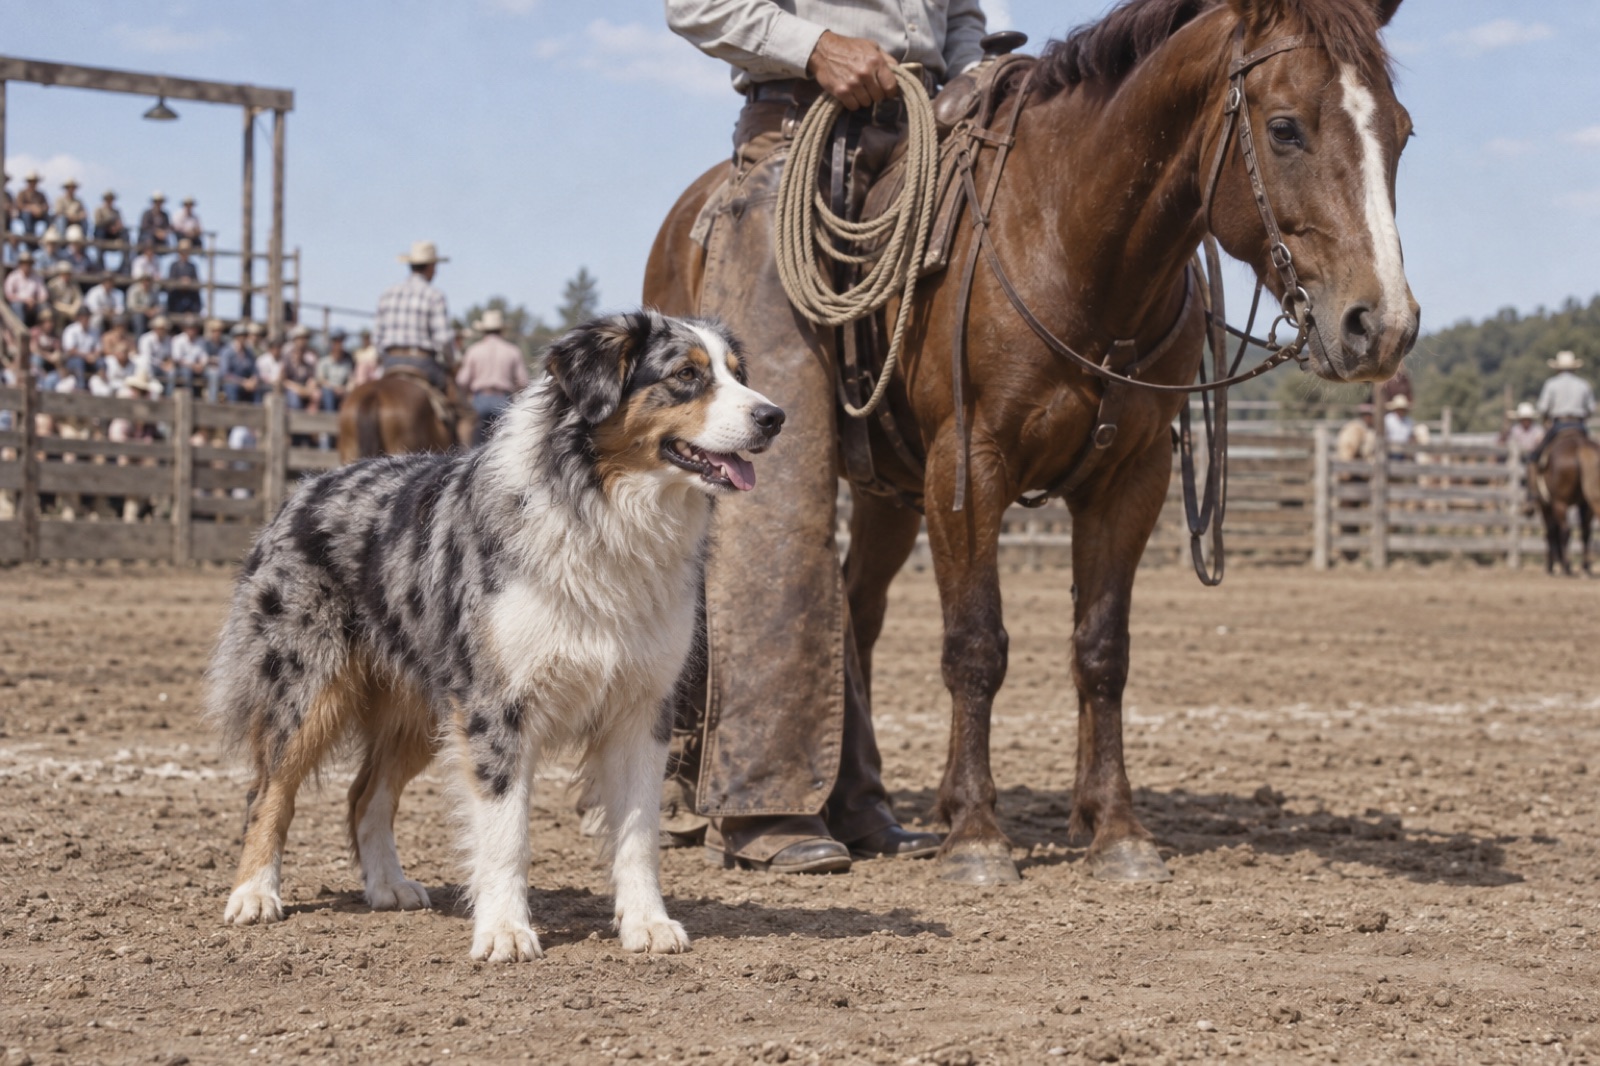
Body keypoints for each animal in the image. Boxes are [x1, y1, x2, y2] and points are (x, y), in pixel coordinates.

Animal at [645, 0, 1418, 885]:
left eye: (1401, 131)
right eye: (1285, 127)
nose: (1381, 326)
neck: (1073, 251)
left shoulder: (1133, 476)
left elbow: (1102, 650)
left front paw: (1114, 829)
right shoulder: (970, 468)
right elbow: (976, 645)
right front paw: (979, 835)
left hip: (888, 497)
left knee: (855, 615)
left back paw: (865, 811)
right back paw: (728, 814)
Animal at [1534, 429, 1600, 576]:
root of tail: (1580, 448)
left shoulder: (1545, 505)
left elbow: (1551, 531)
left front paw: (1551, 565)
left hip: (1560, 503)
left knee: (1565, 530)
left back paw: (1566, 566)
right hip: (1588, 503)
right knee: (1585, 532)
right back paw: (1585, 567)